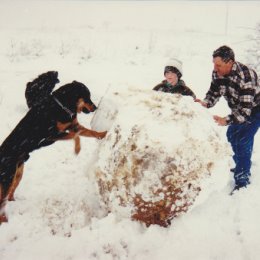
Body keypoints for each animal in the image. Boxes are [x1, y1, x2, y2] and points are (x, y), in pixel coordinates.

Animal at [0, 80, 106, 222]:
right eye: (86, 96)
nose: (95, 107)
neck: (62, 106)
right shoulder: (51, 136)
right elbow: (75, 136)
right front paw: (77, 149)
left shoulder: (74, 126)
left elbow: (90, 133)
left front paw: (104, 134)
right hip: (8, 177)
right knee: (2, 200)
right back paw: (4, 219)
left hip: (18, 174)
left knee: (10, 193)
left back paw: (13, 201)